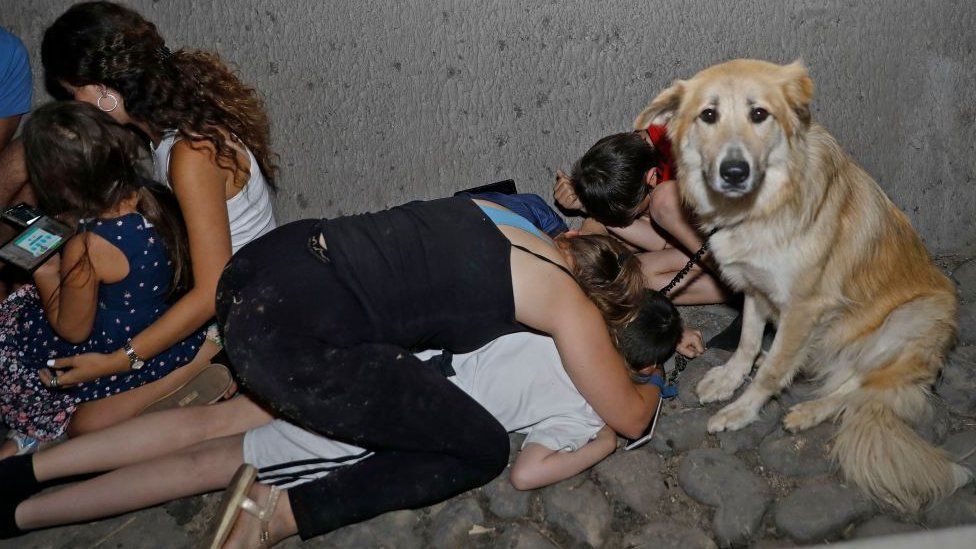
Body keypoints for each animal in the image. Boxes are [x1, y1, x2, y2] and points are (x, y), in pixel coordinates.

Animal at [632, 57, 968, 512]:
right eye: (708, 115)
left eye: (759, 114)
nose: (734, 172)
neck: (761, 208)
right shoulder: (755, 289)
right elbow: (747, 342)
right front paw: (730, 379)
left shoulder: (804, 308)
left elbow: (774, 372)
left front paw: (742, 410)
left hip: (913, 318)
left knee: (864, 388)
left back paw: (811, 410)